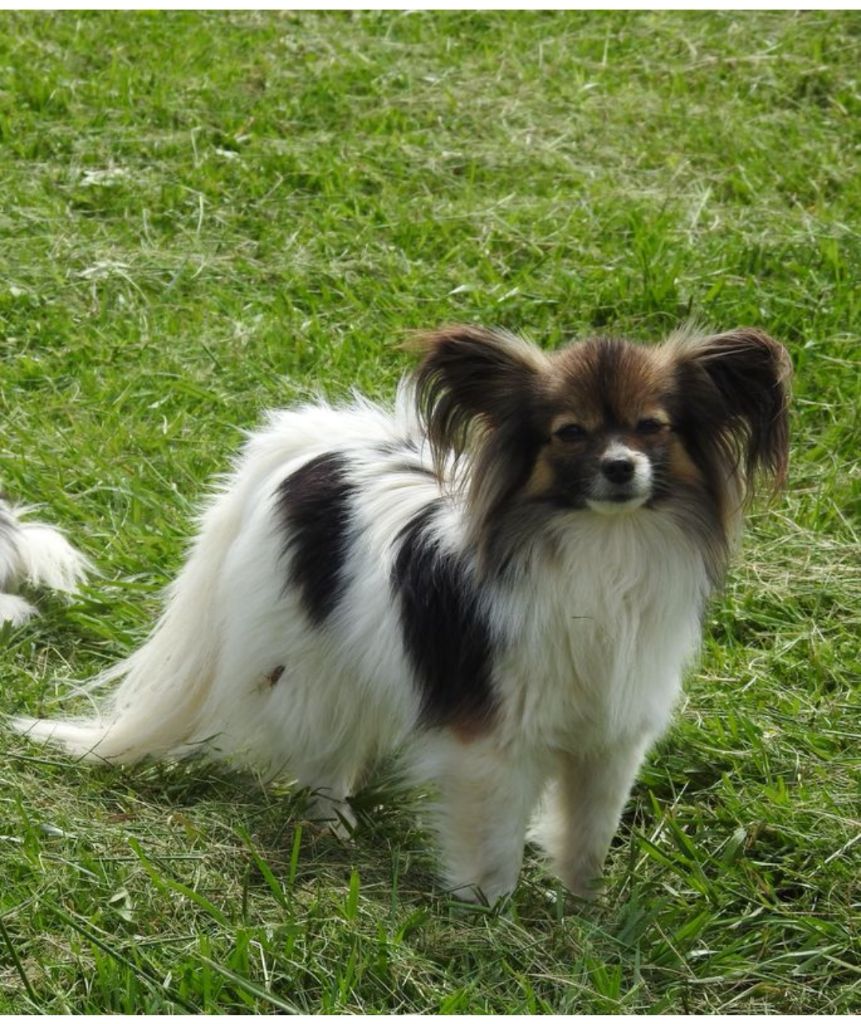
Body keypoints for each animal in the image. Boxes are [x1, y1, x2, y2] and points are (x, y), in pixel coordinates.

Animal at [13, 323, 790, 901]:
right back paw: (335, 826)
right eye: (569, 433)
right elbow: (493, 845)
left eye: (652, 428)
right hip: (314, 665)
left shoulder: (612, 735)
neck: (604, 545)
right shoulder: (493, 738)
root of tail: (319, 448)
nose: (621, 467)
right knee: (325, 751)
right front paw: (491, 919)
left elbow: (586, 836)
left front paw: (582, 914)